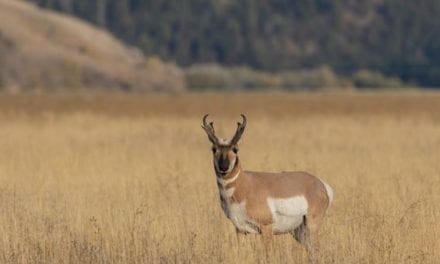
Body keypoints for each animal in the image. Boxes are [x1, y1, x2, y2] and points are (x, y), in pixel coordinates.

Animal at [203, 114, 334, 260]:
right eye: (214, 149)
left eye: (235, 149)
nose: (223, 167)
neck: (244, 185)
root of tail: (321, 184)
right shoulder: (240, 229)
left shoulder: (266, 228)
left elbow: (269, 256)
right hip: (298, 231)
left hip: (311, 226)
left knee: (316, 250)